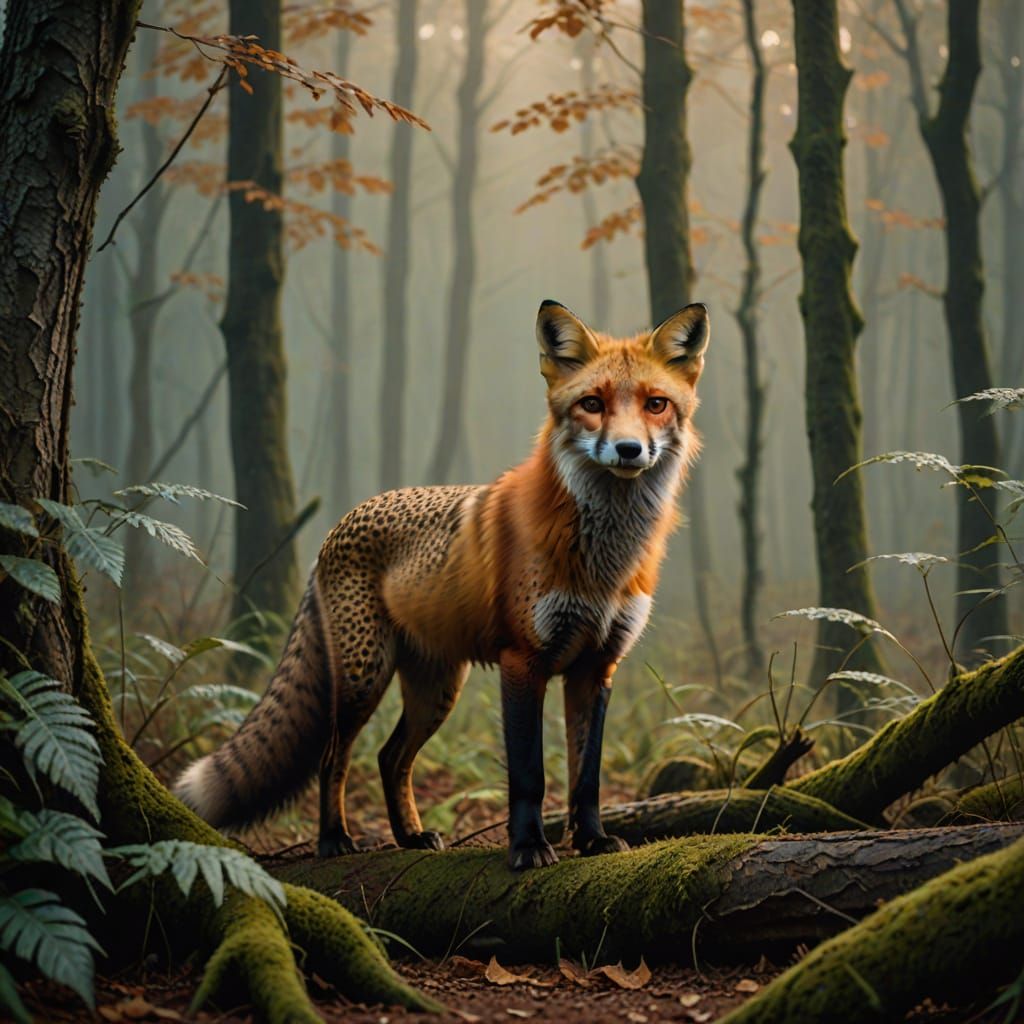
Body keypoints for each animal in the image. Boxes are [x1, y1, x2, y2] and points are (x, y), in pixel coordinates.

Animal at [174, 299, 710, 870]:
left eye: (656, 404)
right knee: (333, 756)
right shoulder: (523, 661)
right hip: (365, 676)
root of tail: (339, 524)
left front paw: (591, 841)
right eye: (592, 403)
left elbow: (587, 777)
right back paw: (333, 839)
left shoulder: (595, 667)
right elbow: (530, 776)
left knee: (390, 757)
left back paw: (410, 835)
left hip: (437, 689)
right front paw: (529, 847)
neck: (603, 561)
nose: (629, 449)